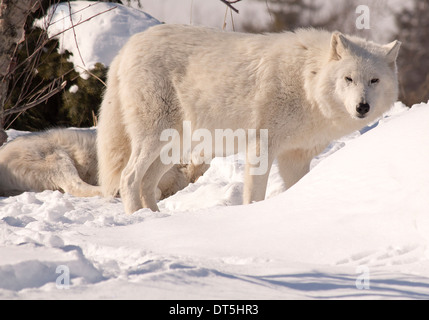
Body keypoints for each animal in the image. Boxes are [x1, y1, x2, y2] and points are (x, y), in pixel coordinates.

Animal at [96, 25, 398, 215]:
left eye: (374, 80)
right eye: (348, 79)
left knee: (147, 183)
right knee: (129, 177)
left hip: (172, 147)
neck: (306, 82)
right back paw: (136, 216)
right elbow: (254, 195)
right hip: (155, 139)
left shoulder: (295, 157)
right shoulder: (261, 148)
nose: (362, 107)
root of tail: (127, 47)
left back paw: (153, 217)